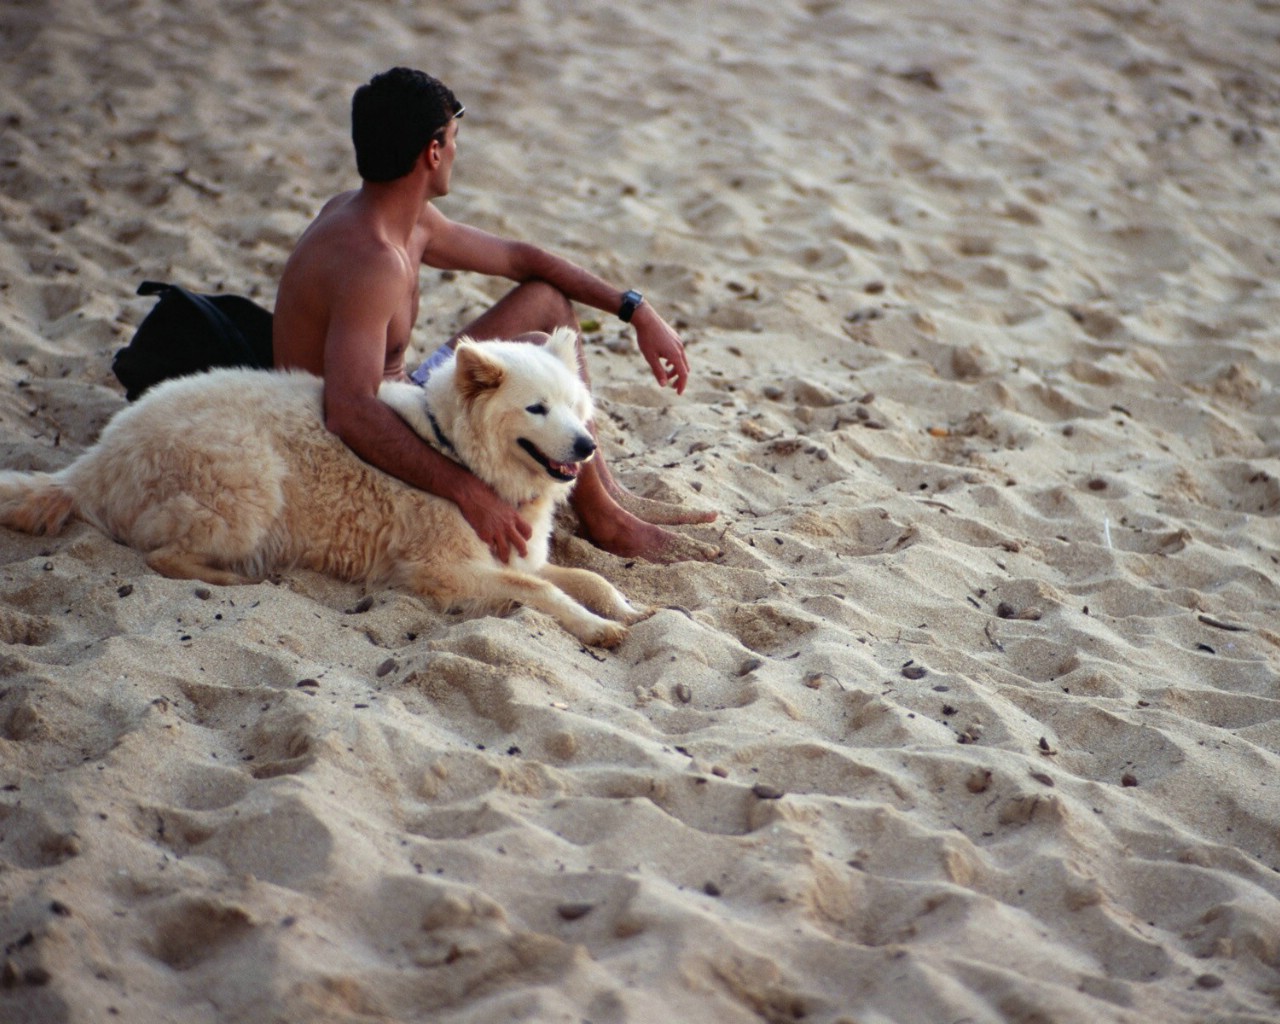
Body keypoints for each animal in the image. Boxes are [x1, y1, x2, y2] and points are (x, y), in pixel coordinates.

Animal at [0, 330, 645, 647]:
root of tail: (93, 460)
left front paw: (629, 609)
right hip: (251, 481)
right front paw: (597, 628)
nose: (586, 448)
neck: (457, 456)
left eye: (576, 407)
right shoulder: (441, 571)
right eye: (536, 409)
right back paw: (234, 578)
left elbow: (589, 578)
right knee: (163, 555)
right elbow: (544, 593)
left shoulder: (518, 556)